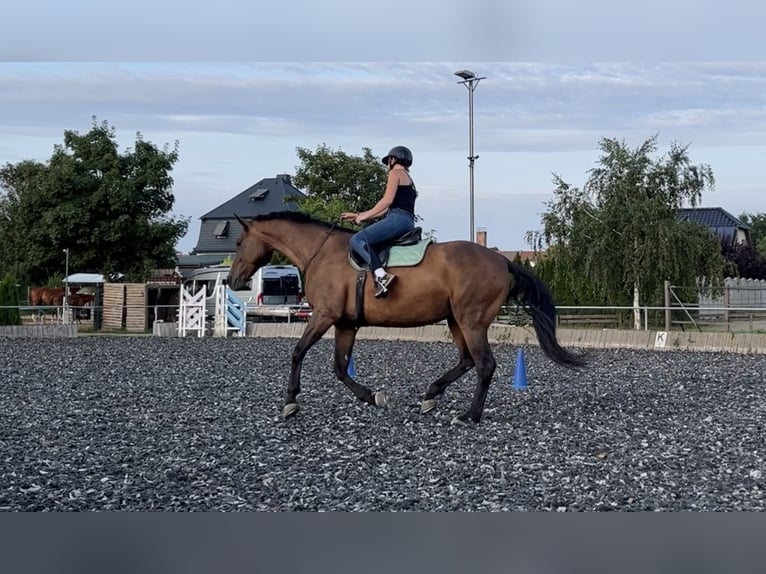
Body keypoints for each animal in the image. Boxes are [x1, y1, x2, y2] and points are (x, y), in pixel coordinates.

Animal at [228, 212, 588, 424]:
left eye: (239, 240)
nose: (232, 280)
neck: (322, 252)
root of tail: (501, 261)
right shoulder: (345, 324)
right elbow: (340, 367)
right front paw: (372, 396)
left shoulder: (324, 316)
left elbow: (298, 352)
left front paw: (290, 402)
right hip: (456, 321)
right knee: (467, 361)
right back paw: (430, 396)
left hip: (470, 322)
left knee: (484, 365)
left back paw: (470, 415)